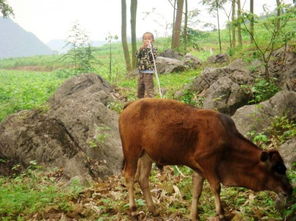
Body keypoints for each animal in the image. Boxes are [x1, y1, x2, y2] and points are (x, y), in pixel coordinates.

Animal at [119, 99, 292, 221]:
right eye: (278, 168)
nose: (289, 189)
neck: (227, 142)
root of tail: (130, 104)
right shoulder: (206, 163)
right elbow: (216, 187)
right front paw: (220, 214)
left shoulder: (199, 169)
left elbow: (197, 191)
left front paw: (193, 215)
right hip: (132, 151)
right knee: (129, 176)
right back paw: (133, 210)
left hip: (146, 155)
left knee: (142, 179)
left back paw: (153, 210)